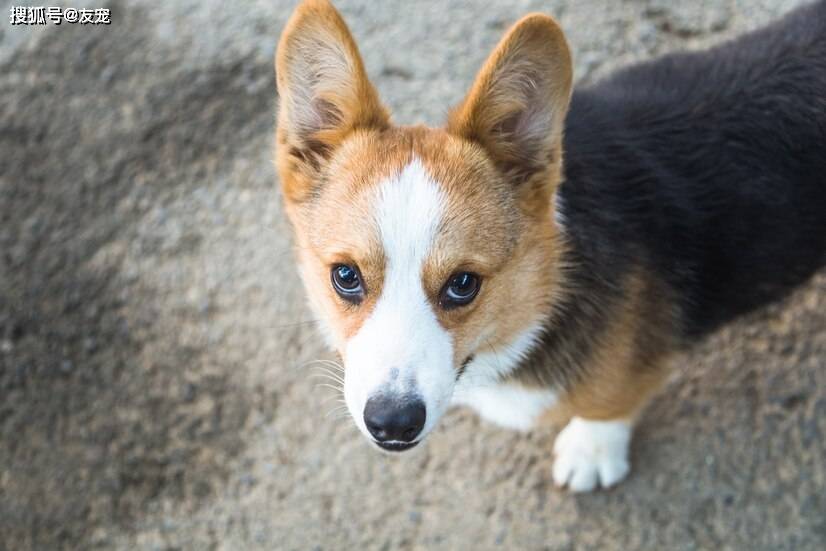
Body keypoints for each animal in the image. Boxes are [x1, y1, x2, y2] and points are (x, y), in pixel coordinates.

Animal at [276, 0, 824, 492]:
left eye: (463, 283)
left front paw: (591, 449)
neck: (549, 279)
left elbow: (611, 403)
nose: (392, 423)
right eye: (346, 276)